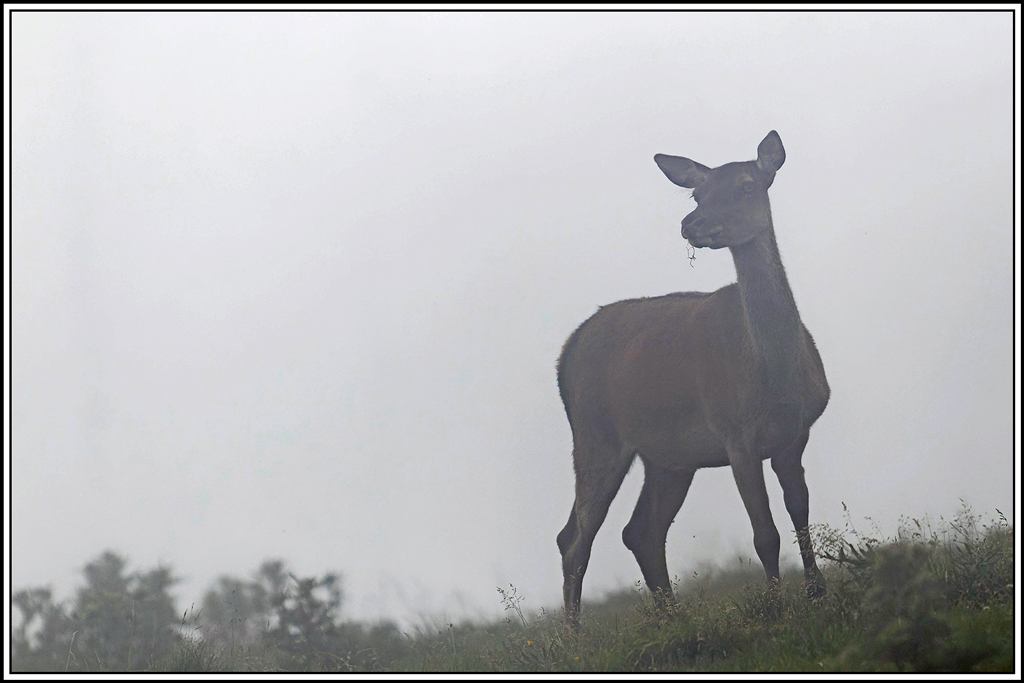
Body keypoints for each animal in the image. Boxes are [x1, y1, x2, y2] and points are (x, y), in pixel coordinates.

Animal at [555, 131, 829, 627]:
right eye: (698, 194)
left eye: (746, 185)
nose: (692, 223)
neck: (776, 379)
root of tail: (565, 353)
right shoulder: (736, 436)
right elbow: (765, 533)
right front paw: (776, 608)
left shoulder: (795, 435)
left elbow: (800, 514)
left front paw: (818, 594)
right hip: (595, 434)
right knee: (575, 536)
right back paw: (572, 636)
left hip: (669, 457)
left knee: (639, 532)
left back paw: (673, 619)